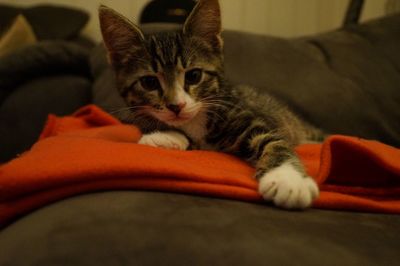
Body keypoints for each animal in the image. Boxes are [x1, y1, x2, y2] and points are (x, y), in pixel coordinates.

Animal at [100, 0, 322, 209]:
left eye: (194, 76)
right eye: (149, 82)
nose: (176, 106)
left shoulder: (248, 116)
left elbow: (273, 140)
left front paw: (288, 179)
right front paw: (163, 136)